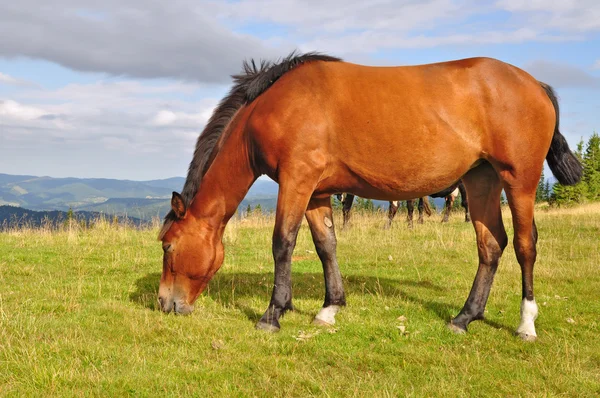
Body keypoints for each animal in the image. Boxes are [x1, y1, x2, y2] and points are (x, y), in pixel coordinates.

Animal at [158, 52, 580, 342]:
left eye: (167, 246)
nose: (165, 304)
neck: (274, 105)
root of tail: (536, 84)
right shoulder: (317, 191)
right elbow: (326, 245)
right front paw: (329, 309)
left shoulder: (297, 179)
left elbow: (283, 243)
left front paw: (273, 314)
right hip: (480, 181)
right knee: (491, 245)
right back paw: (464, 317)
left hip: (518, 181)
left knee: (525, 245)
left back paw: (526, 323)